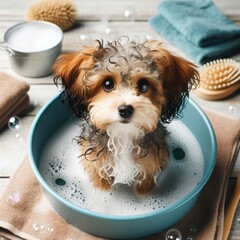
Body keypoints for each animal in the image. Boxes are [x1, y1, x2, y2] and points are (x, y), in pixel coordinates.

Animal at [53, 38, 199, 194]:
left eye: (144, 85)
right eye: (108, 83)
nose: (125, 110)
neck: (124, 137)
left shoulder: (149, 169)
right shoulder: (97, 168)